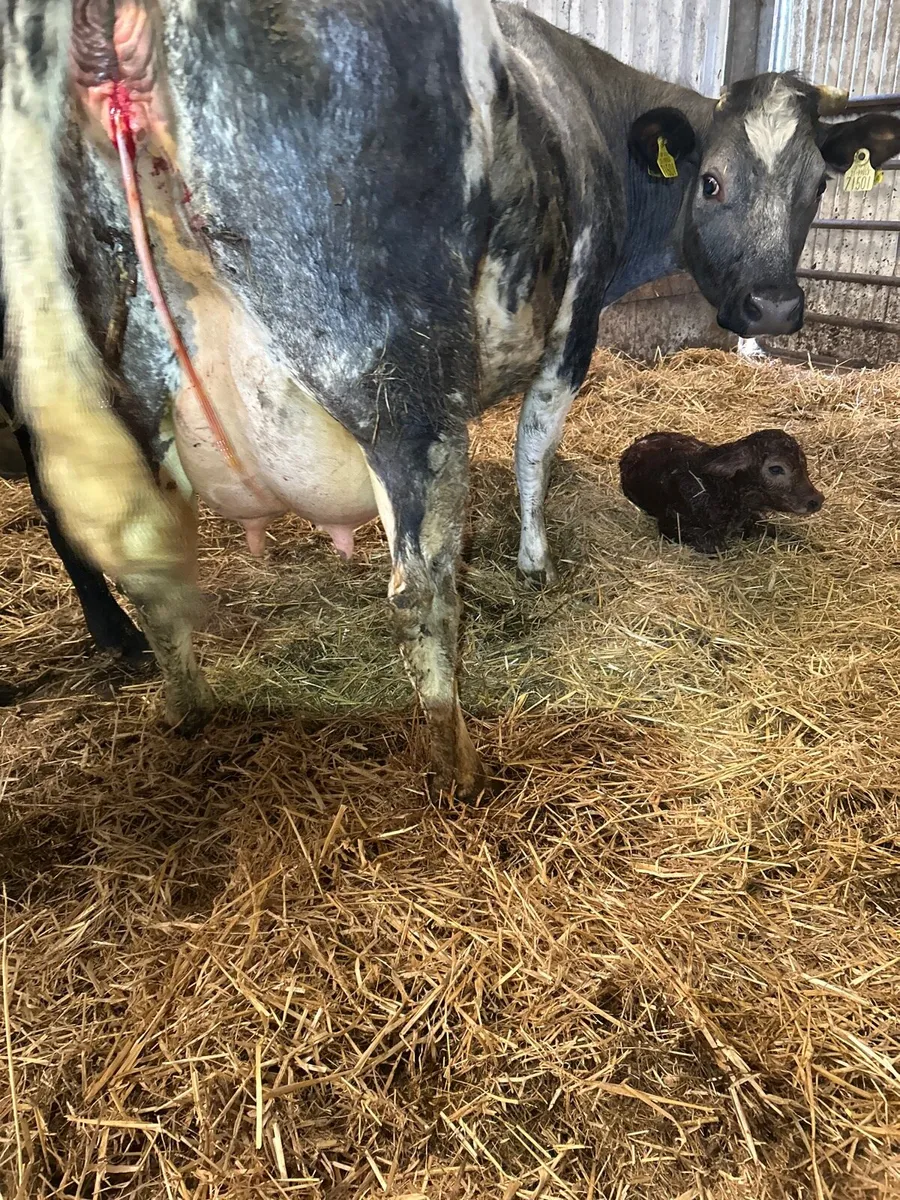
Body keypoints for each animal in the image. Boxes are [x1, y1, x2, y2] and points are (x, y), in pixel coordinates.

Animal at [2, 1, 899, 796]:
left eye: (819, 185)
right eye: (710, 182)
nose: (774, 307)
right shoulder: (572, 327)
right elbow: (534, 452)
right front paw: (535, 563)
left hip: (128, 389)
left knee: (151, 569)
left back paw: (190, 713)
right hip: (398, 377)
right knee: (418, 594)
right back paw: (461, 767)